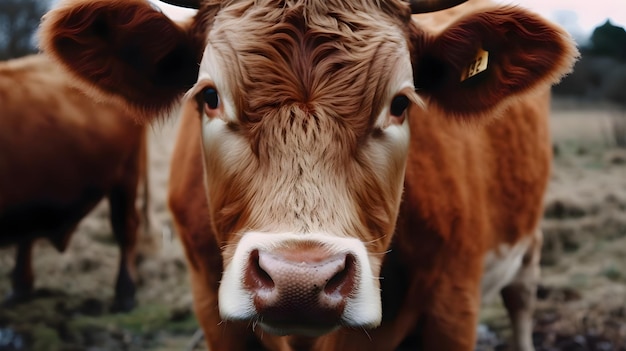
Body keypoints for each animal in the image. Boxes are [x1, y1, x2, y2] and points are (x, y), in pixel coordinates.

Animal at [37, 0, 576, 350]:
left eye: (401, 103)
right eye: (209, 96)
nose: (299, 280)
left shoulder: (452, 304)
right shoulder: (211, 304)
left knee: (521, 298)